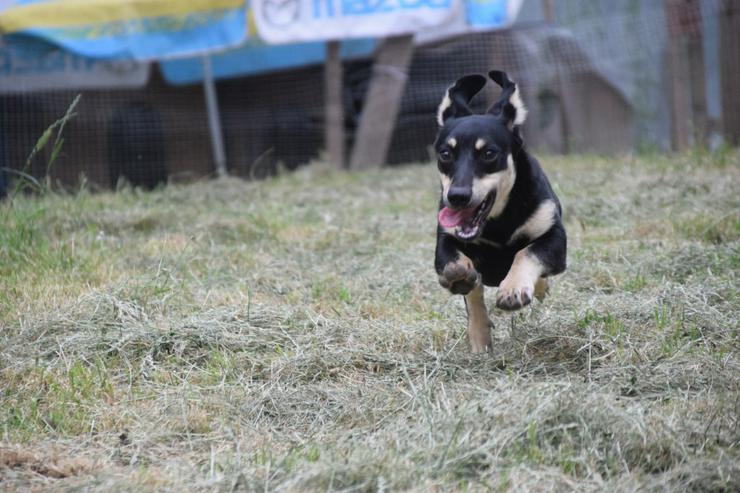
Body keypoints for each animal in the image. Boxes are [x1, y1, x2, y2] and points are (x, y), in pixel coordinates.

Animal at [434, 70, 568, 354]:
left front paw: (513, 289)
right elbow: (452, 265)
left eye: (488, 153)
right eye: (445, 153)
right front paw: (459, 275)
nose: (456, 196)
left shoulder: (555, 237)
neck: (497, 222)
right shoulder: (446, 238)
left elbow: (526, 251)